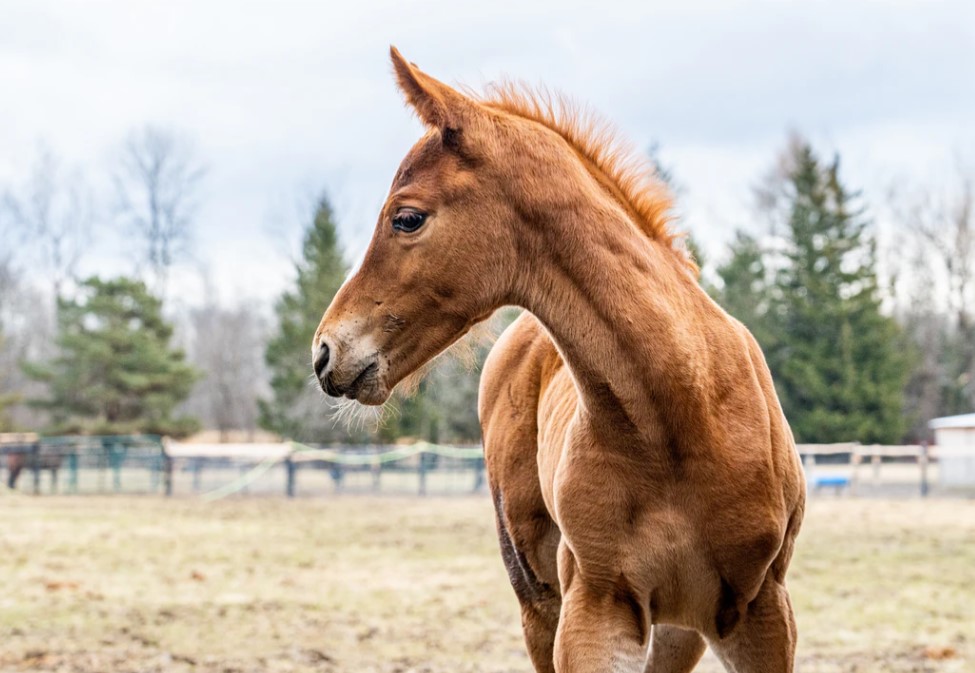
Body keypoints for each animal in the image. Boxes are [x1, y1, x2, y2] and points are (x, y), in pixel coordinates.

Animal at [314, 48, 808, 672]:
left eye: (407, 217)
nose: (325, 352)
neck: (682, 418)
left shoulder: (763, 612)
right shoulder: (595, 608)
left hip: (680, 630)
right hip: (538, 600)